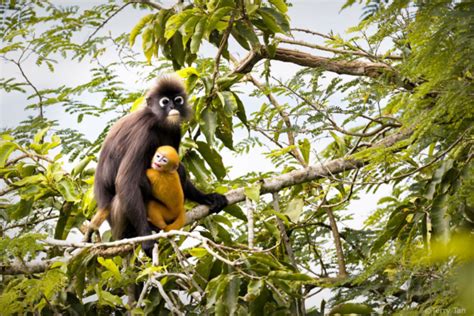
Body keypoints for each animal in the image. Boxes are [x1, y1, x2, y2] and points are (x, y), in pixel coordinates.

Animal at [84, 74, 229, 254]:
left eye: (178, 100)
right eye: (164, 102)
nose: (173, 106)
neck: (158, 122)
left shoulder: (175, 130)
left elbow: (176, 166)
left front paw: (207, 197)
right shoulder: (143, 134)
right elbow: (126, 181)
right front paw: (146, 239)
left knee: (179, 170)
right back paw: (134, 233)